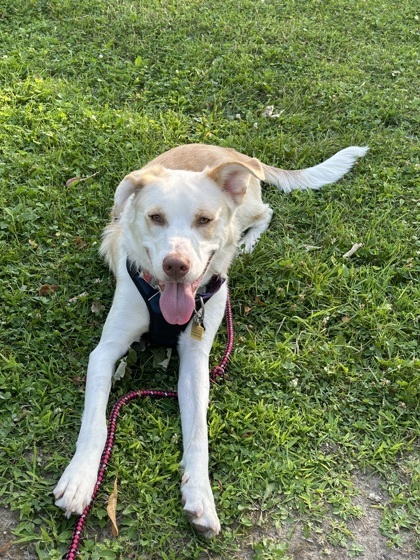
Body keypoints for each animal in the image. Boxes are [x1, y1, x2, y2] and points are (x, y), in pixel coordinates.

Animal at [53, 142, 368, 536]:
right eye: (155, 217)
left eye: (204, 220)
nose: (176, 265)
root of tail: (228, 151)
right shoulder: (105, 351)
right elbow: (95, 422)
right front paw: (79, 479)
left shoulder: (196, 361)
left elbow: (198, 433)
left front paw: (200, 495)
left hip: (246, 207)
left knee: (265, 212)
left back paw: (247, 244)